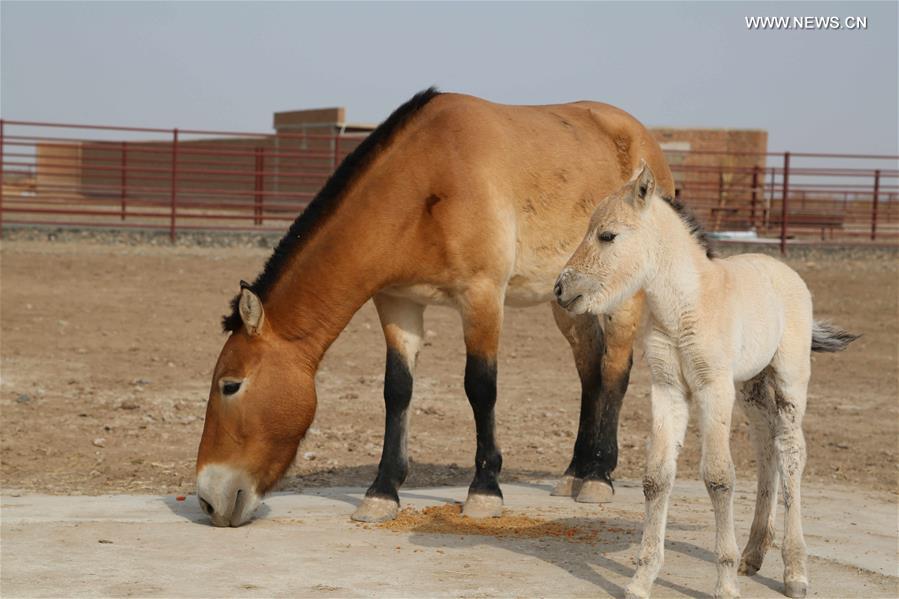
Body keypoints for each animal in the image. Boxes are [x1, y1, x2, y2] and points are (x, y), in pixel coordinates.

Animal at [195, 88, 677, 527]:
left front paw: (484, 491)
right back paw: (575, 472)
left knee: (615, 370)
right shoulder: (398, 303)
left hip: (624, 298)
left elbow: (481, 387)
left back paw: (598, 477)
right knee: (590, 371)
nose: (207, 500)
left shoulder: (482, 297)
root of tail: (647, 146)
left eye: (230, 386)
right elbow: (397, 390)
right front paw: (382, 492)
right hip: (569, 299)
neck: (425, 181)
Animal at [553, 163, 858, 599]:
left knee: (791, 452)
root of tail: (784, 271)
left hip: (789, 379)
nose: (561, 289)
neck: (686, 306)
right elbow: (656, 477)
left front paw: (725, 582)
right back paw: (753, 554)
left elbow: (718, 476)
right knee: (766, 448)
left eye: (607, 235)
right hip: (749, 388)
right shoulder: (667, 390)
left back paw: (795, 572)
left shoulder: (713, 389)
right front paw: (641, 578)